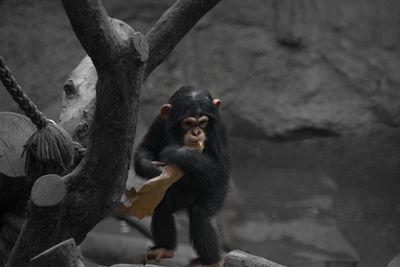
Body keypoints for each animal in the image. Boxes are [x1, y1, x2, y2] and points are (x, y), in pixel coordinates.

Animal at [134, 87, 230, 266]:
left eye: (203, 122)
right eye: (188, 123)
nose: (197, 132)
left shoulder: (218, 129)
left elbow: (219, 167)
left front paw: (175, 153)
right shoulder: (159, 122)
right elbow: (147, 147)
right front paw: (151, 168)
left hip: (217, 191)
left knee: (200, 213)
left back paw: (210, 260)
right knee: (162, 204)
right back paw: (164, 248)